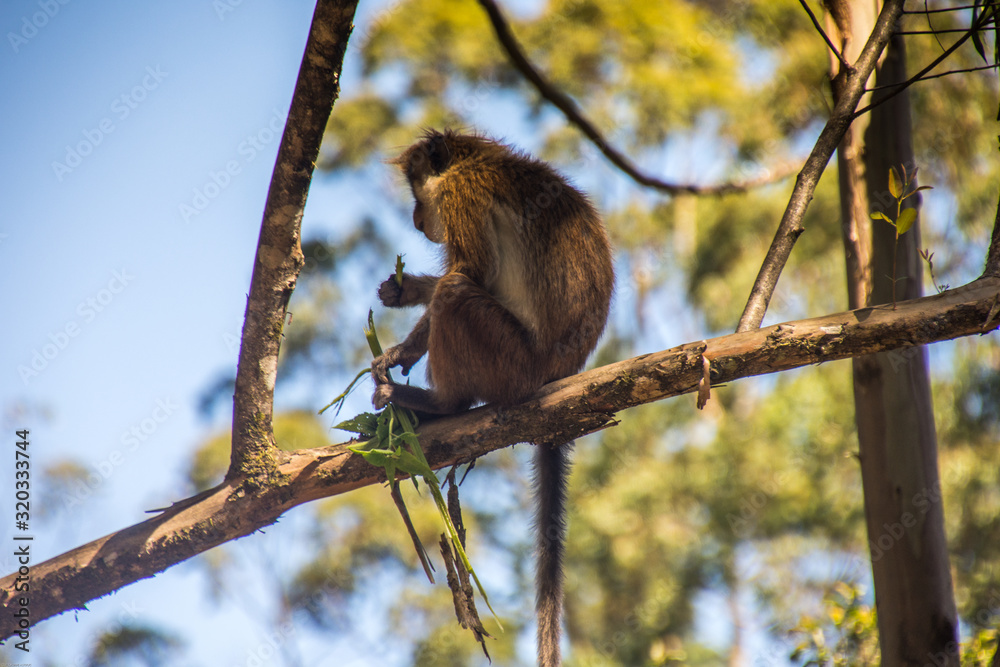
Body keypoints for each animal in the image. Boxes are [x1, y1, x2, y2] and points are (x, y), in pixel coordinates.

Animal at [371, 129, 613, 667]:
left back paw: (443, 405)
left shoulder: (461, 192)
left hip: (508, 360)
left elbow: (470, 273)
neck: (477, 159)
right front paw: (406, 288)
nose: (416, 220)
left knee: (457, 292)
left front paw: (403, 349)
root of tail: (558, 373)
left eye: (417, 195)